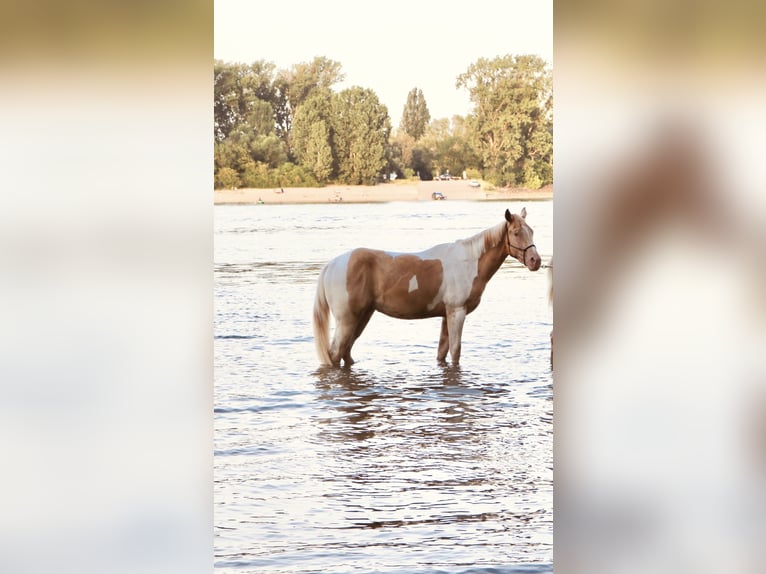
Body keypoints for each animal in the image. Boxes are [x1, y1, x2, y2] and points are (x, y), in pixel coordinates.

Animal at [313, 207, 542, 367]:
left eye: (531, 231)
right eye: (515, 232)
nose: (535, 260)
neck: (468, 261)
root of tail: (332, 265)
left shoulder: (446, 315)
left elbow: (442, 352)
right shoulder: (457, 312)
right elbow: (456, 351)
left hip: (362, 316)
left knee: (346, 352)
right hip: (347, 320)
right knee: (335, 354)